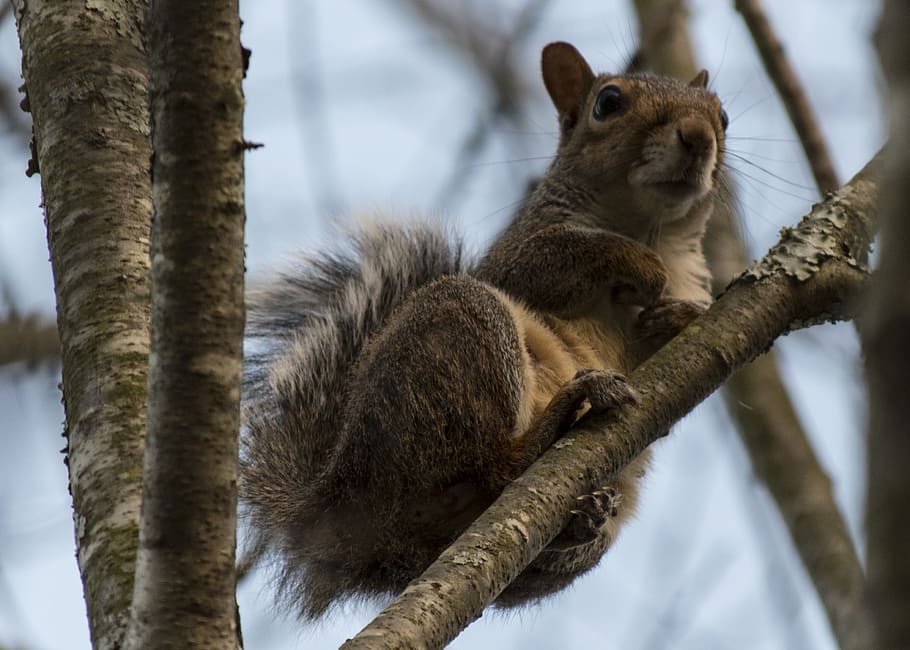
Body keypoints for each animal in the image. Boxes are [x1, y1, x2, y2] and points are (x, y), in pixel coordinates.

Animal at [241, 41, 727, 620]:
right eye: (608, 103)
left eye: (722, 115)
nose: (698, 135)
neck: (651, 229)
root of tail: (347, 510)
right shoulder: (514, 257)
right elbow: (558, 258)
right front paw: (644, 270)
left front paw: (682, 316)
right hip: (462, 328)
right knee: (493, 466)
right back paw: (557, 421)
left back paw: (580, 523)